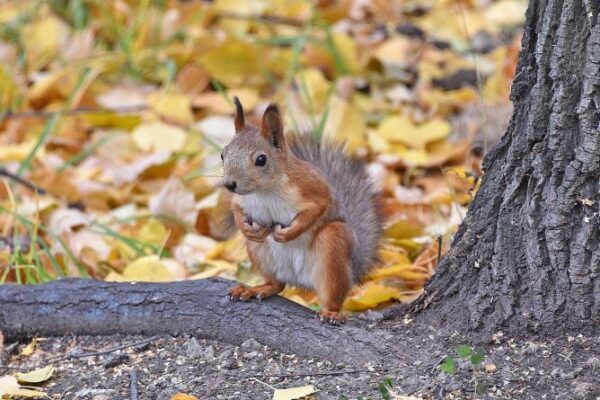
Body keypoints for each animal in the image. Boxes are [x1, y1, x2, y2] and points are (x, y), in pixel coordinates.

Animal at [221, 97, 384, 324]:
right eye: (223, 154)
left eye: (261, 159)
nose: (229, 184)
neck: (264, 192)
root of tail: (300, 281)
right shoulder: (241, 199)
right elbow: (236, 207)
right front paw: (245, 228)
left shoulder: (313, 188)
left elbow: (317, 208)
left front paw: (288, 233)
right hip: (260, 253)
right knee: (277, 284)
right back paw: (254, 289)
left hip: (333, 246)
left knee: (334, 295)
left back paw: (332, 313)